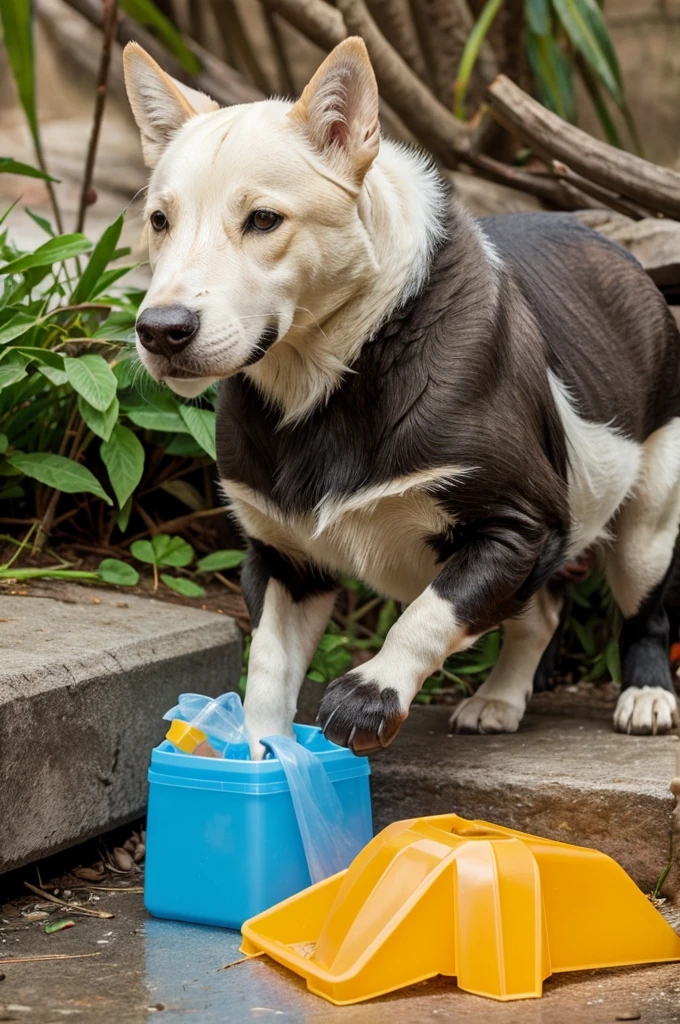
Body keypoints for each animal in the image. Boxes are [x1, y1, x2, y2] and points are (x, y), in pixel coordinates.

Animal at [124, 36, 680, 757]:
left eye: (264, 220)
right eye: (159, 221)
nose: (161, 331)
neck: (332, 373)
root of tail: (612, 244)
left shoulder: (519, 526)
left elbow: (430, 611)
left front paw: (371, 692)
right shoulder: (285, 560)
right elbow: (270, 663)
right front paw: (266, 752)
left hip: (652, 513)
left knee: (643, 604)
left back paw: (645, 693)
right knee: (540, 613)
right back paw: (502, 697)